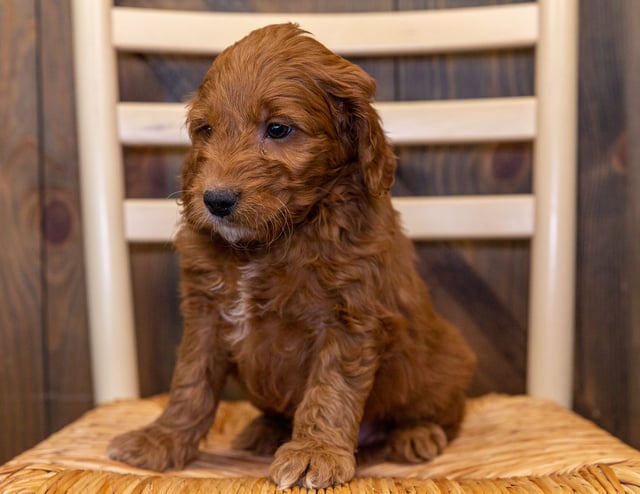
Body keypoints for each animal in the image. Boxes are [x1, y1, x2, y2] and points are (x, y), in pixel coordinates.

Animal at [107, 24, 476, 490]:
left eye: (278, 129)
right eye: (205, 129)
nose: (215, 200)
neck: (272, 240)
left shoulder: (349, 316)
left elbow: (328, 390)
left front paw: (314, 452)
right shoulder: (205, 314)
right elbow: (190, 382)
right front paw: (162, 439)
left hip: (445, 359)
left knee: (446, 410)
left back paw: (417, 433)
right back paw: (265, 429)